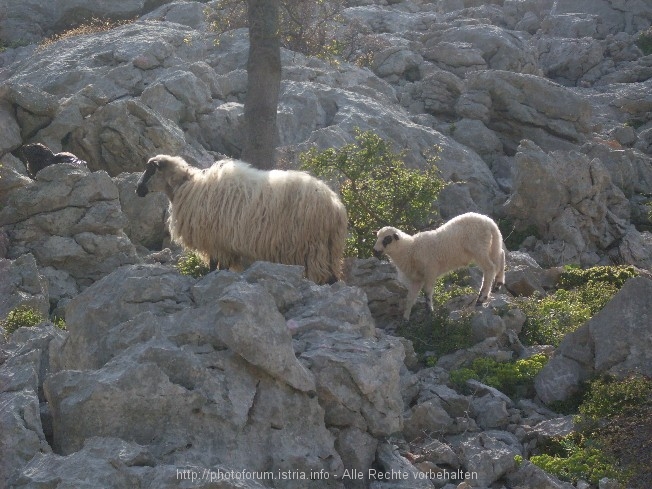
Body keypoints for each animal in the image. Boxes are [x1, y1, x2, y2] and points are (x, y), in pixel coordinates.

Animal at [136, 154, 348, 284]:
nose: (137, 190)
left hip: (313, 245)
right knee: (332, 276)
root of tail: (336, 206)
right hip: (329, 247)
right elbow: (218, 266)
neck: (187, 187)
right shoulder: (220, 242)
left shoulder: (216, 240)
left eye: (150, 170)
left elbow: (215, 266)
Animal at [372, 211, 504, 320]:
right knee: (500, 256)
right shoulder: (417, 279)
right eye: (377, 237)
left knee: (490, 268)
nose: (375, 251)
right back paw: (498, 283)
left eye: (387, 239)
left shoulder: (430, 270)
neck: (409, 249)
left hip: (478, 248)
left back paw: (482, 298)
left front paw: (429, 310)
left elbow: (427, 291)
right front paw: (406, 317)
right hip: (491, 245)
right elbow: (410, 298)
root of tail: (489, 222)